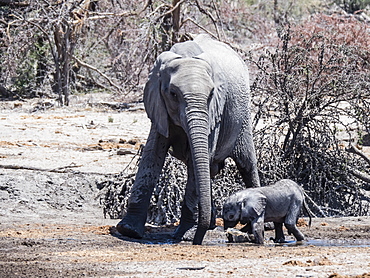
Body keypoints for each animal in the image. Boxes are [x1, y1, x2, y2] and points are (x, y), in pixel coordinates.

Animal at [116, 33, 260, 244]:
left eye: (211, 94)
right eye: (173, 94)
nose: (197, 241)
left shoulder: (214, 114)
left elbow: (195, 161)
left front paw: (186, 235)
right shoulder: (158, 107)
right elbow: (152, 155)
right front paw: (129, 230)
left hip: (242, 119)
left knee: (246, 164)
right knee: (210, 169)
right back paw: (210, 224)